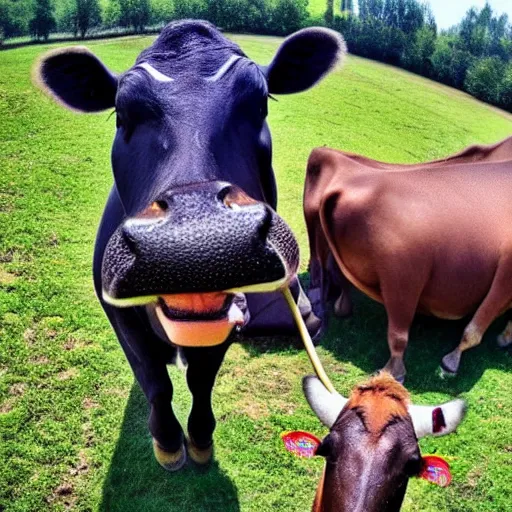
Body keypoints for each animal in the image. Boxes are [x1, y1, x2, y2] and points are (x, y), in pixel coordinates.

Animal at [36, 21, 344, 472]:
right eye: (122, 114)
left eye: (260, 104)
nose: (197, 239)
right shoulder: (118, 312)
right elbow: (154, 381)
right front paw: (167, 442)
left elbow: (200, 380)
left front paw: (199, 438)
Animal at [306, 136, 512, 380]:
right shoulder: (505, 272)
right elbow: (475, 328)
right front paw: (450, 363)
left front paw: (504, 338)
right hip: (403, 277)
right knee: (398, 333)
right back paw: (394, 371)